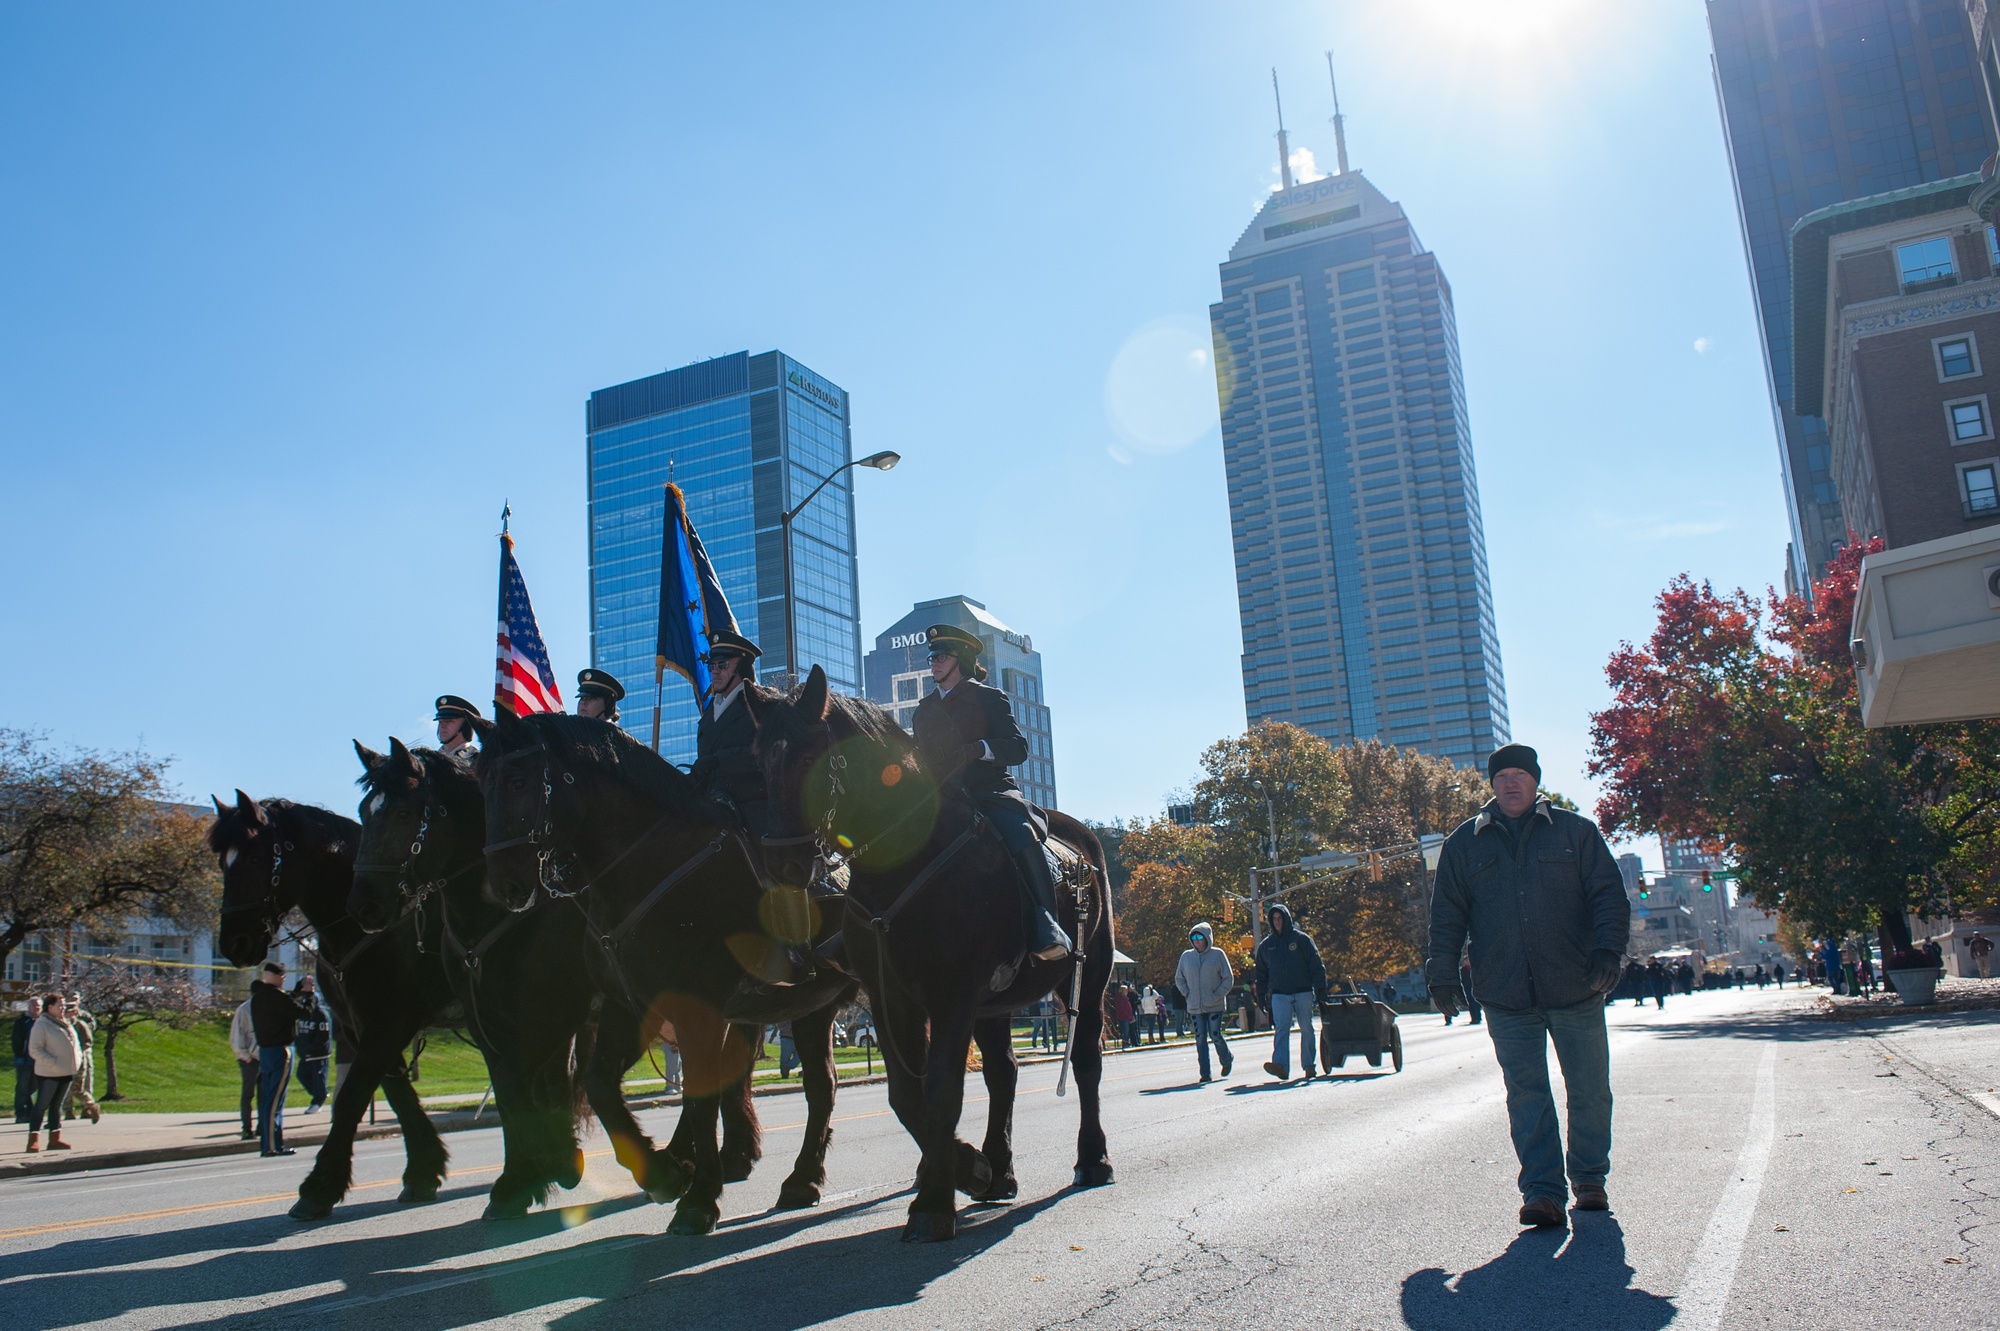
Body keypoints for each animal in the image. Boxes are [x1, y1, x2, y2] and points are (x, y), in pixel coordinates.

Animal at [211, 787, 454, 1215]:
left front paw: (319, 1186)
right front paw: (424, 1171)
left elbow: (352, 1097)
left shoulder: (390, 1021)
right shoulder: (361, 1025)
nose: (233, 943)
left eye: (255, 858)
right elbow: (397, 1095)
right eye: (223, 862)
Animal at [348, 739, 592, 1215]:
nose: (364, 906)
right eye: (365, 811)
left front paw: (537, 1169)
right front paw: (521, 1179)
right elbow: (507, 1088)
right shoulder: (485, 1019)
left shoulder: (548, 1012)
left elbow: (518, 1082)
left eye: (403, 813)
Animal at [472, 703, 856, 1231]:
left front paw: (698, 1199)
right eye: (481, 784)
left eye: (516, 780)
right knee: (822, 1086)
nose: (505, 885)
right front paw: (662, 1174)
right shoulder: (628, 1005)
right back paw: (801, 1179)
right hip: (813, 1006)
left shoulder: (698, 1011)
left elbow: (698, 1099)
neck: (646, 865)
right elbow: (600, 1085)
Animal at [752, 667, 1128, 1239]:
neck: (903, 860)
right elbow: (907, 1096)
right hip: (995, 1004)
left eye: (806, 754)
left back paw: (1092, 1159)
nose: (780, 865)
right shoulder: (891, 998)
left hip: (1089, 978)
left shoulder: (952, 995)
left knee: (1085, 1061)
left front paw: (934, 1200)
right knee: (1003, 1073)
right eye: (761, 759)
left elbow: (943, 1089)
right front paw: (968, 1168)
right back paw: (1001, 1171)